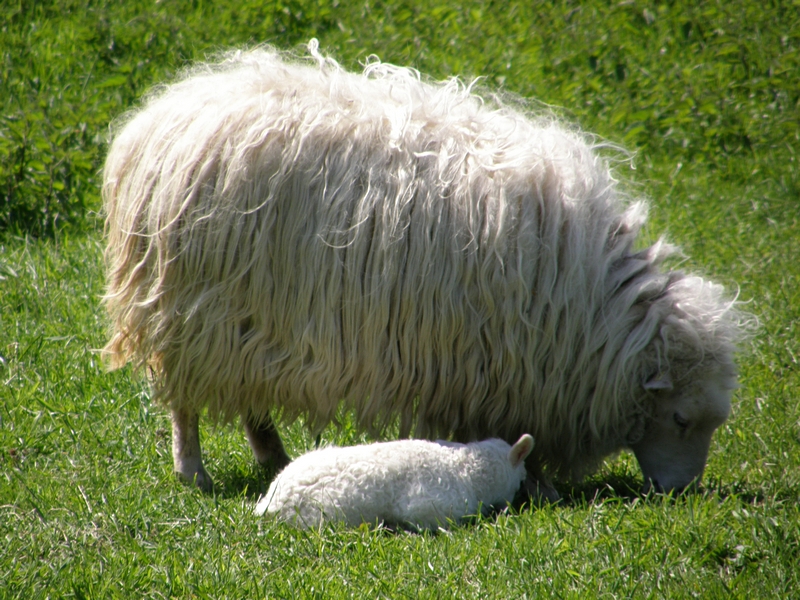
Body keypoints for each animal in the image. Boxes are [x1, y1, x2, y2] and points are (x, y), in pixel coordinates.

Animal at [103, 38, 748, 502]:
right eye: (681, 417)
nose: (680, 493)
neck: (591, 310)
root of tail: (159, 116)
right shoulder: (487, 364)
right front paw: (531, 479)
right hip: (190, 312)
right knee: (184, 403)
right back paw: (193, 471)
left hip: (248, 321)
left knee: (249, 395)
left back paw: (274, 456)